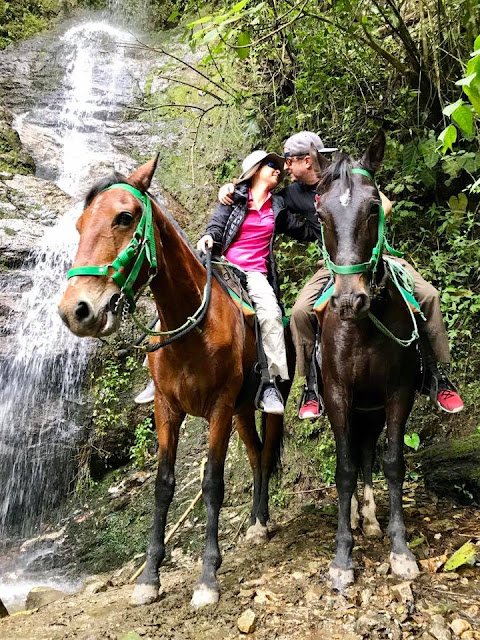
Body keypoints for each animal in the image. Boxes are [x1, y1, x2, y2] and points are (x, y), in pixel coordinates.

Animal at [58, 158, 294, 608]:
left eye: (124, 217)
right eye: (78, 225)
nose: (75, 311)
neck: (191, 328)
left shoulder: (218, 408)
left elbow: (213, 483)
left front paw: (208, 578)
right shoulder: (166, 409)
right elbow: (163, 486)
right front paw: (150, 577)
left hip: (261, 403)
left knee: (267, 449)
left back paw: (262, 521)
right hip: (241, 411)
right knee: (256, 454)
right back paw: (255, 522)